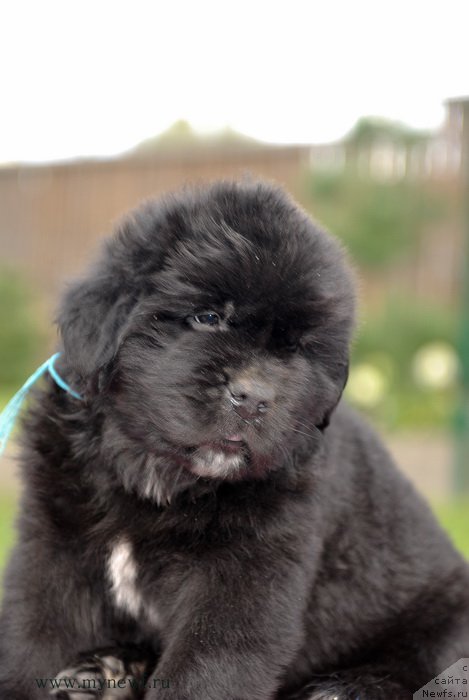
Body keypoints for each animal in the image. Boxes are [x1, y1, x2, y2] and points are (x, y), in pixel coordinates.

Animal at [0, 182, 468, 700]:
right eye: (207, 317)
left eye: (297, 347)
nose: (254, 397)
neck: (155, 473)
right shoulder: (54, 548)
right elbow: (35, 637)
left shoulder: (246, 575)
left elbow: (206, 668)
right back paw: (107, 673)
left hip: (447, 611)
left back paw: (345, 688)